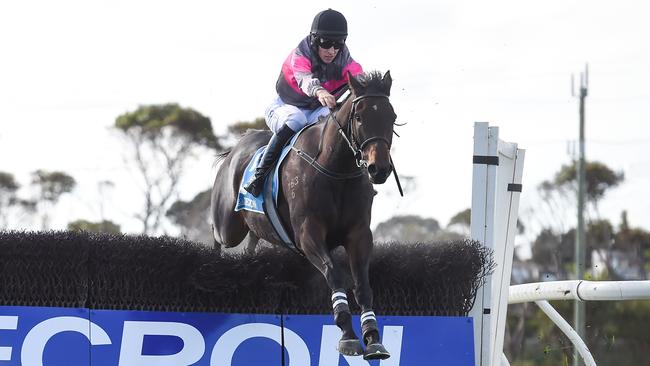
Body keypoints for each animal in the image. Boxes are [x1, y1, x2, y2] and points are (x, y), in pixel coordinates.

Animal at [211, 70, 394, 358]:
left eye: (392, 117)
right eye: (359, 117)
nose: (380, 169)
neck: (336, 169)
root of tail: (236, 148)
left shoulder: (359, 234)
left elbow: (363, 285)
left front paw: (373, 338)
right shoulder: (309, 234)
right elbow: (334, 274)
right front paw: (348, 335)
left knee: (252, 241)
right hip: (227, 226)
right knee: (217, 236)